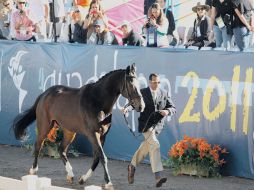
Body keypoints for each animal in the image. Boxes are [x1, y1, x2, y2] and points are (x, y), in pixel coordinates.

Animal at [12, 63, 145, 189]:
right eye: (131, 84)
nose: (141, 106)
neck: (98, 101)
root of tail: (44, 94)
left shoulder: (103, 135)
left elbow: (97, 158)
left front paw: (83, 179)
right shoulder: (93, 134)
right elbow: (102, 157)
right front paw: (108, 183)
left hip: (69, 131)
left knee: (61, 149)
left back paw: (70, 175)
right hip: (45, 126)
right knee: (38, 145)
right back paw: (33, 171)